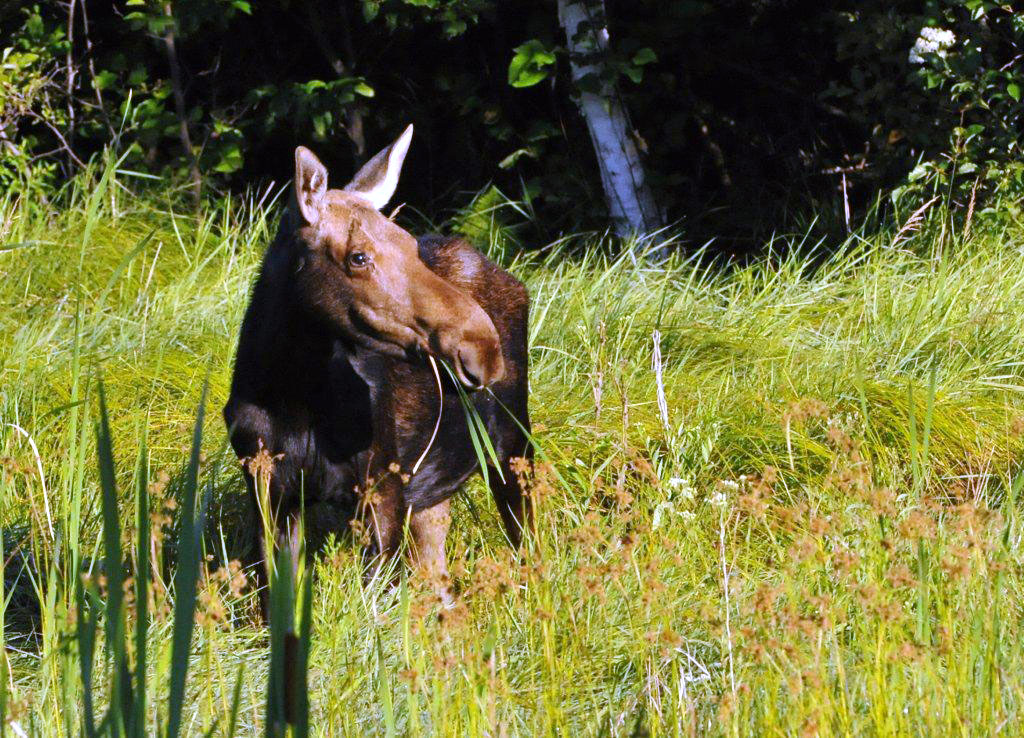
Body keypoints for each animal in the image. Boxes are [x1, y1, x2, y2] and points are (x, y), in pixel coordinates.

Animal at [223, 125, 532, 607]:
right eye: (357, 256)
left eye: (410, 243)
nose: (481, 346)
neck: (293, 394)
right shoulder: (267, 487)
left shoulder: (382, 485)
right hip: (431, 486)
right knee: (436, 564)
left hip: (513, 441)